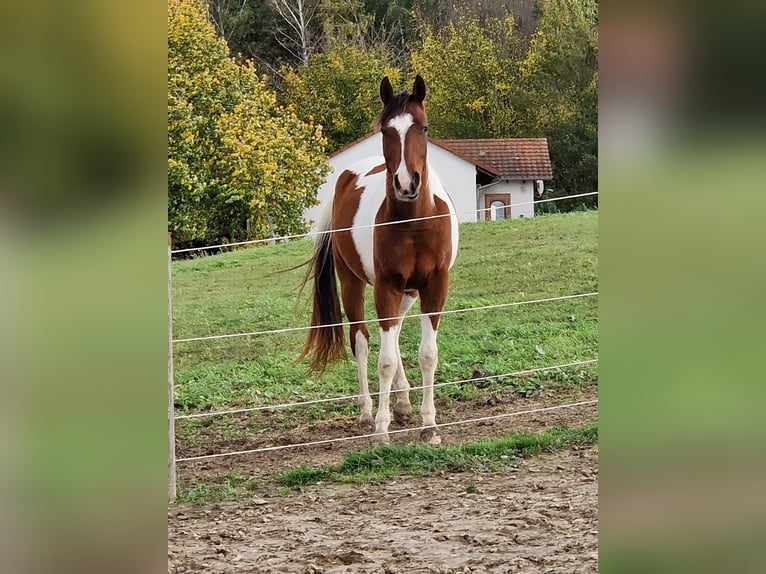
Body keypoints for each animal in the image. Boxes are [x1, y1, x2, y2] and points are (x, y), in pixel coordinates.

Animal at [298, 75, 456, 446]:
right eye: (386, 130)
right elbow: (382, 360)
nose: (406, 183)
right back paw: (368, 413)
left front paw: (429, 426)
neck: (413, 223)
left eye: (424, 128)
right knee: (362, 341)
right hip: (352, 283)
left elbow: (427, 354)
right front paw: (381, 430)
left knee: (394, 336)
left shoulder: (434, 286)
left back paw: (402, 404)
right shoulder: (386, 286)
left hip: (407, 293)